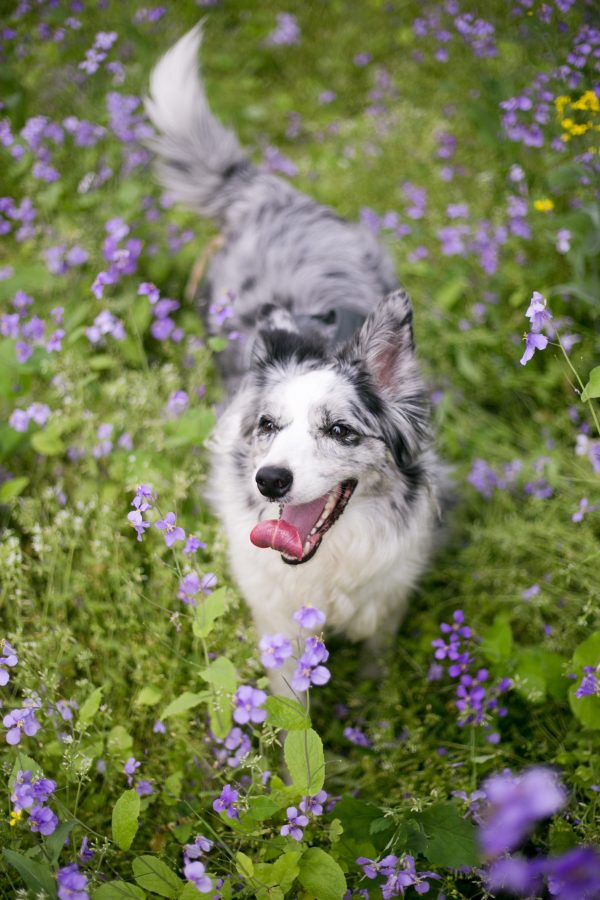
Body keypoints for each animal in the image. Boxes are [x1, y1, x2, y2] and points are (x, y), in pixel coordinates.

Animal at [145, 24, 446, 692]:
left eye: (340, 430)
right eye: (268, 426)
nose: (270, 480)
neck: (326, 563)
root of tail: (268, 193)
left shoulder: (385, 603)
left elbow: (378, 665)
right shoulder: (280, 624)